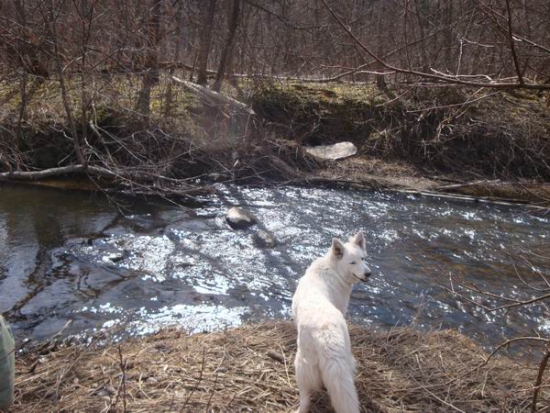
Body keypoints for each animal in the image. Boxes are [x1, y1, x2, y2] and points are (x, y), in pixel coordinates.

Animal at [292, 230, 374, 410]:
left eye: (363, 258)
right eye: (352, 262)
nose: (368, 273)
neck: (333, 269)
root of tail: (325, 336)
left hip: (303, 368)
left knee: (305, 400)